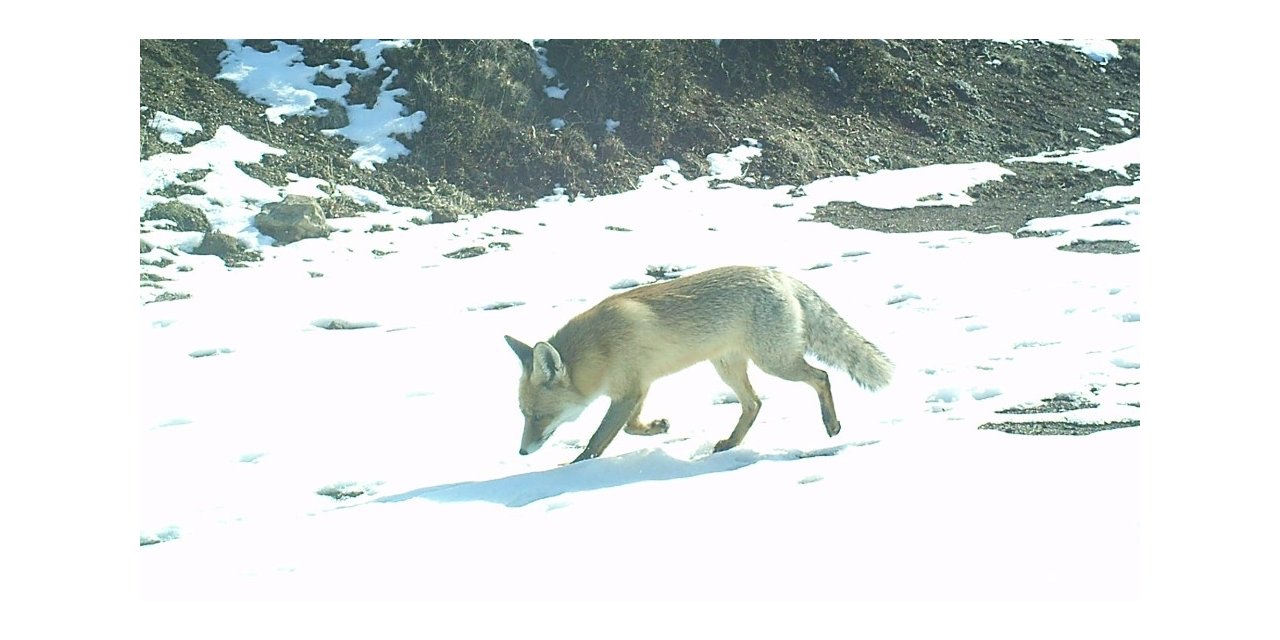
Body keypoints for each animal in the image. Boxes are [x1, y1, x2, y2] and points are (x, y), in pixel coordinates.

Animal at [499, 264, 890, 465]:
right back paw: (731, 443)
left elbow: (599, 438)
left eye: (539, 416)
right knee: (754, 404)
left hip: (775, 362)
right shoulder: (638, 386)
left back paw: (831, 423)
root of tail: (778, 274)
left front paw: (575, 469)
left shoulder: (628, 390)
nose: (521, 451)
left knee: (821, 376)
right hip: (728, 367)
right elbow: (631, 428)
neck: (601, 346)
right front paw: (657, 428)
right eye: (523, 414)